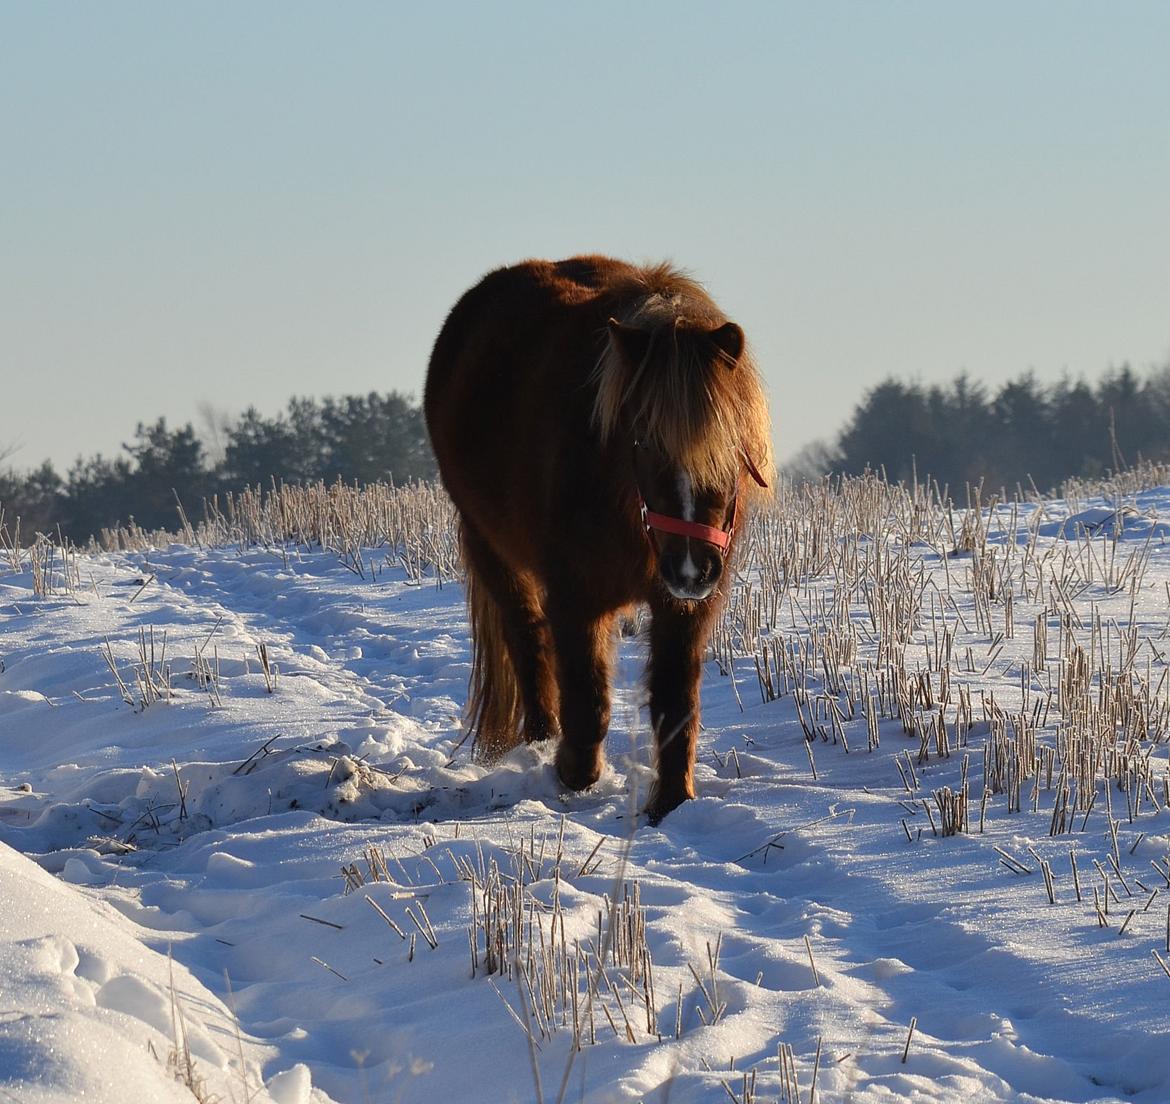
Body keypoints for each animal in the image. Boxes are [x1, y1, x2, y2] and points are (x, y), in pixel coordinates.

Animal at [425, 254, 772, 823]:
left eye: (730, 444)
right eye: (644, 440)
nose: (691, 570)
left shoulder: (686, 607)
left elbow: (677, 701)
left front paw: (672, 802)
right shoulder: (576, 596)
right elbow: (588, 701)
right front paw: (571, 771)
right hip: (490, 547)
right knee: (529, 641)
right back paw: (540, 742)